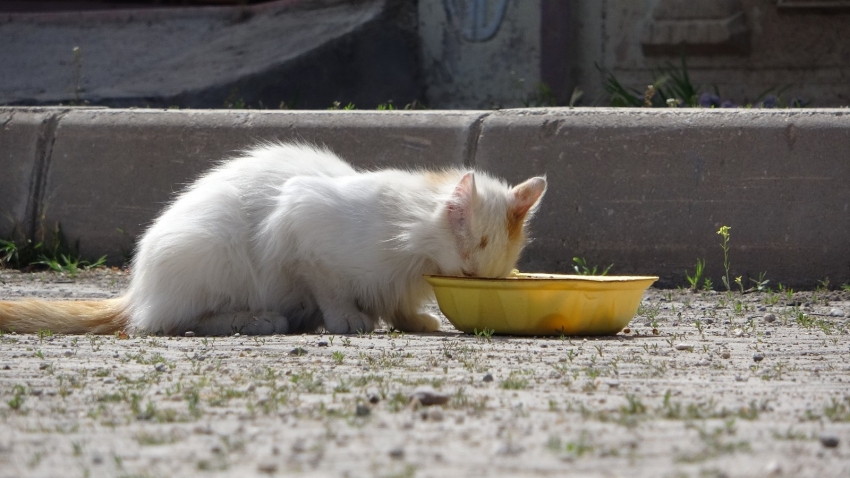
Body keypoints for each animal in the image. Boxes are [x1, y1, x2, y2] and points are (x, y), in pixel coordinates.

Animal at [0, 144, 544, 334]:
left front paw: (414, 321)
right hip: (211, 249)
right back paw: (257, 319)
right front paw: (348, 319)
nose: (473, 285)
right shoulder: (300, 219)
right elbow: (328, 284)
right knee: (164, 323)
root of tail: (136, 289)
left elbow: (396, 303)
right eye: (467, 274)